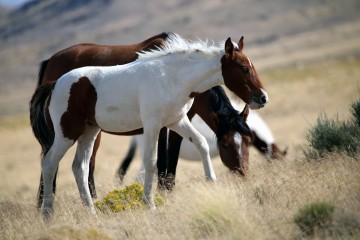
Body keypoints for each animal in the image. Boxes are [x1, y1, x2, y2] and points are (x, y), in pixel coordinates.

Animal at [30, 32, 268, 216]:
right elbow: (153, 162)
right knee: (49, 163)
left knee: (79, 167)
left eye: (248, 140)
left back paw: (92, 211)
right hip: (66, 134)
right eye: (244, 69)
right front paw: (150, 204)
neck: (171, 77)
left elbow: (200, 143)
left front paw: (212, 183)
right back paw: (47, 213)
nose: (263, 98)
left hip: (89, 132)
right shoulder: (154, 125)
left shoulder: (177, 121)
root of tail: (55, 84)